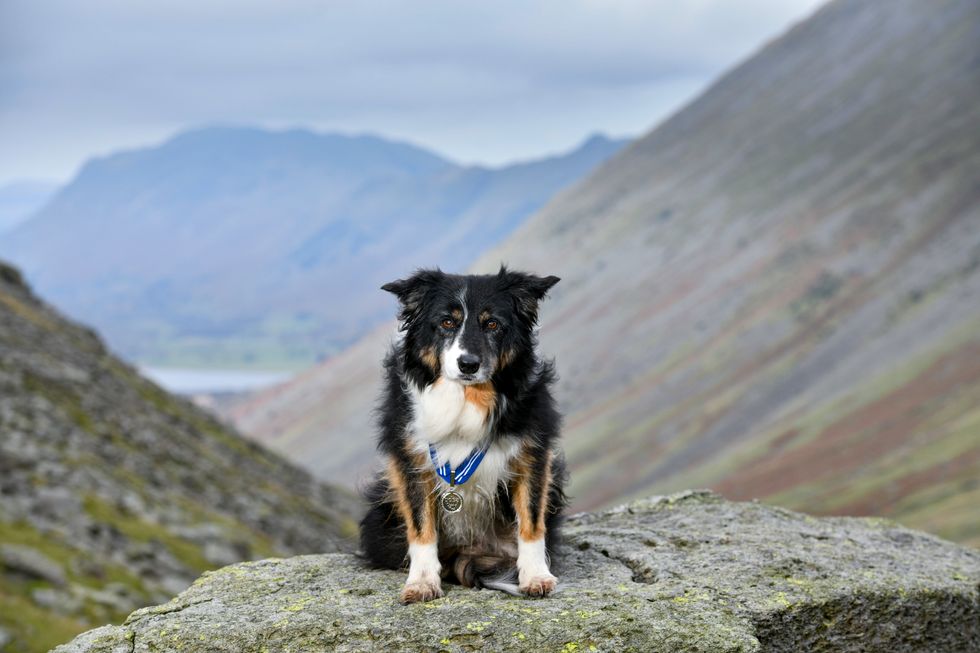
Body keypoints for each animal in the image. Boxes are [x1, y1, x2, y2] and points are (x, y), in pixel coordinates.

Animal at [362, 264, 572, 600]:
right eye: (447, 322)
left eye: (492, 324)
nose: (468, 364)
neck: (466, 398)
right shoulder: (411, 458)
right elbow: (420, 525)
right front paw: (422, 582)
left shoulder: (534, 452)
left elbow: (531, 519)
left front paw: (536, 576)